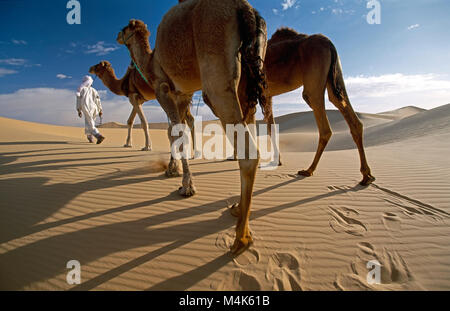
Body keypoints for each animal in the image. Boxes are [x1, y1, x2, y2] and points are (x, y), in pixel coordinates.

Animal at [118, 0, 268, 256]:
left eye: (124, 28)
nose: (117, 36)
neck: (150, 61)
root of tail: (245, 9)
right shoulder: (183, 94)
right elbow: (174, 131)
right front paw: (173, 171)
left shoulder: (163, 88)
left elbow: (176, 132)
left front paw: (186, 186)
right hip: (249, 76)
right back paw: (238, 208)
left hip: (215, 71)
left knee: (248, 152)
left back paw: (241, 239)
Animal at [264, 28, 376, 186]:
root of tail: (328, 41)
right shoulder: (267, 95)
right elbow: (270, 127)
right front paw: (277, 160)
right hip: (336, 76)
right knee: (349, 114)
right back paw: (366, 176)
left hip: (313, 82)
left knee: (325, 128)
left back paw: (309, 170)